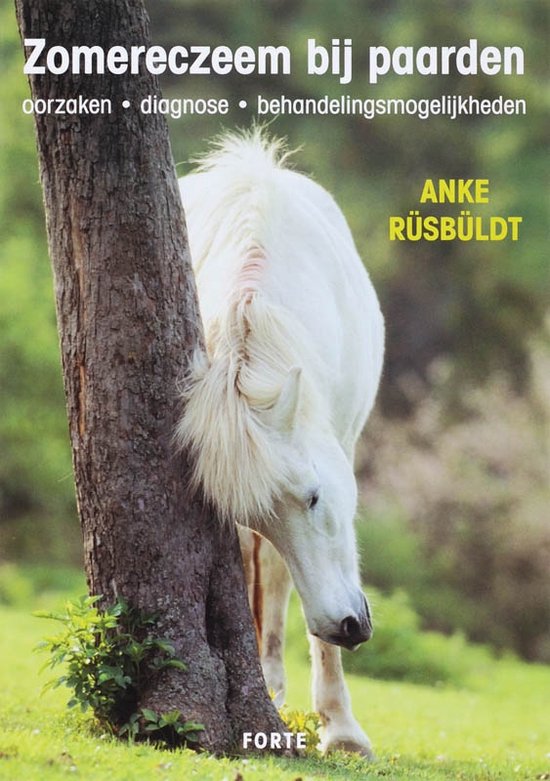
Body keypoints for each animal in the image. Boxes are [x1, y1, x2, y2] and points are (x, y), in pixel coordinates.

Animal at [176, 129, 385, 756]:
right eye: (260, 514)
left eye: (315, 498)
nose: (346, 626)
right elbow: (255, 563)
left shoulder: (342, 440)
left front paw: (341, 730)